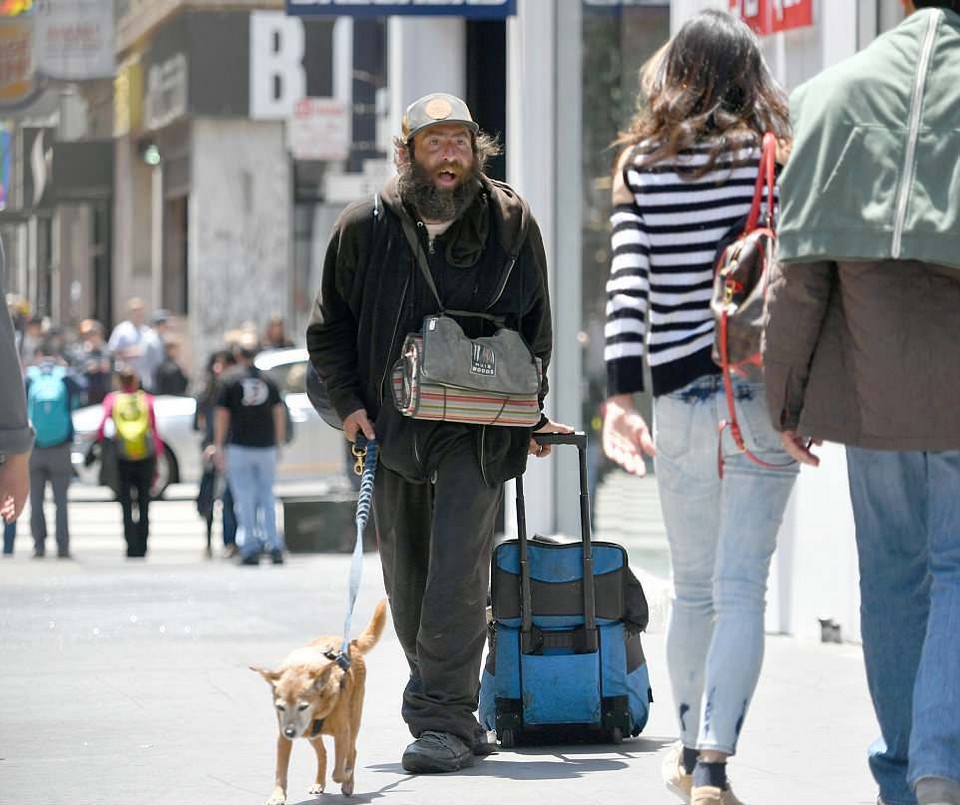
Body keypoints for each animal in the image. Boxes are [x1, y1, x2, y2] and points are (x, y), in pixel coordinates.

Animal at [255, 600, 390, 800]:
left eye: (303, 707)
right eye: (280, 707)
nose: (290, 731)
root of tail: (351, 643)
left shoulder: (342, 734)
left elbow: (338, 772)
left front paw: (346, 776)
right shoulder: (283, 739)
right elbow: (281, 771)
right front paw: (278, 796)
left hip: (354, 723)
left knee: (352, 752)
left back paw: (348, 783)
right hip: (313, 736)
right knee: (323, 754)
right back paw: (319, 783)